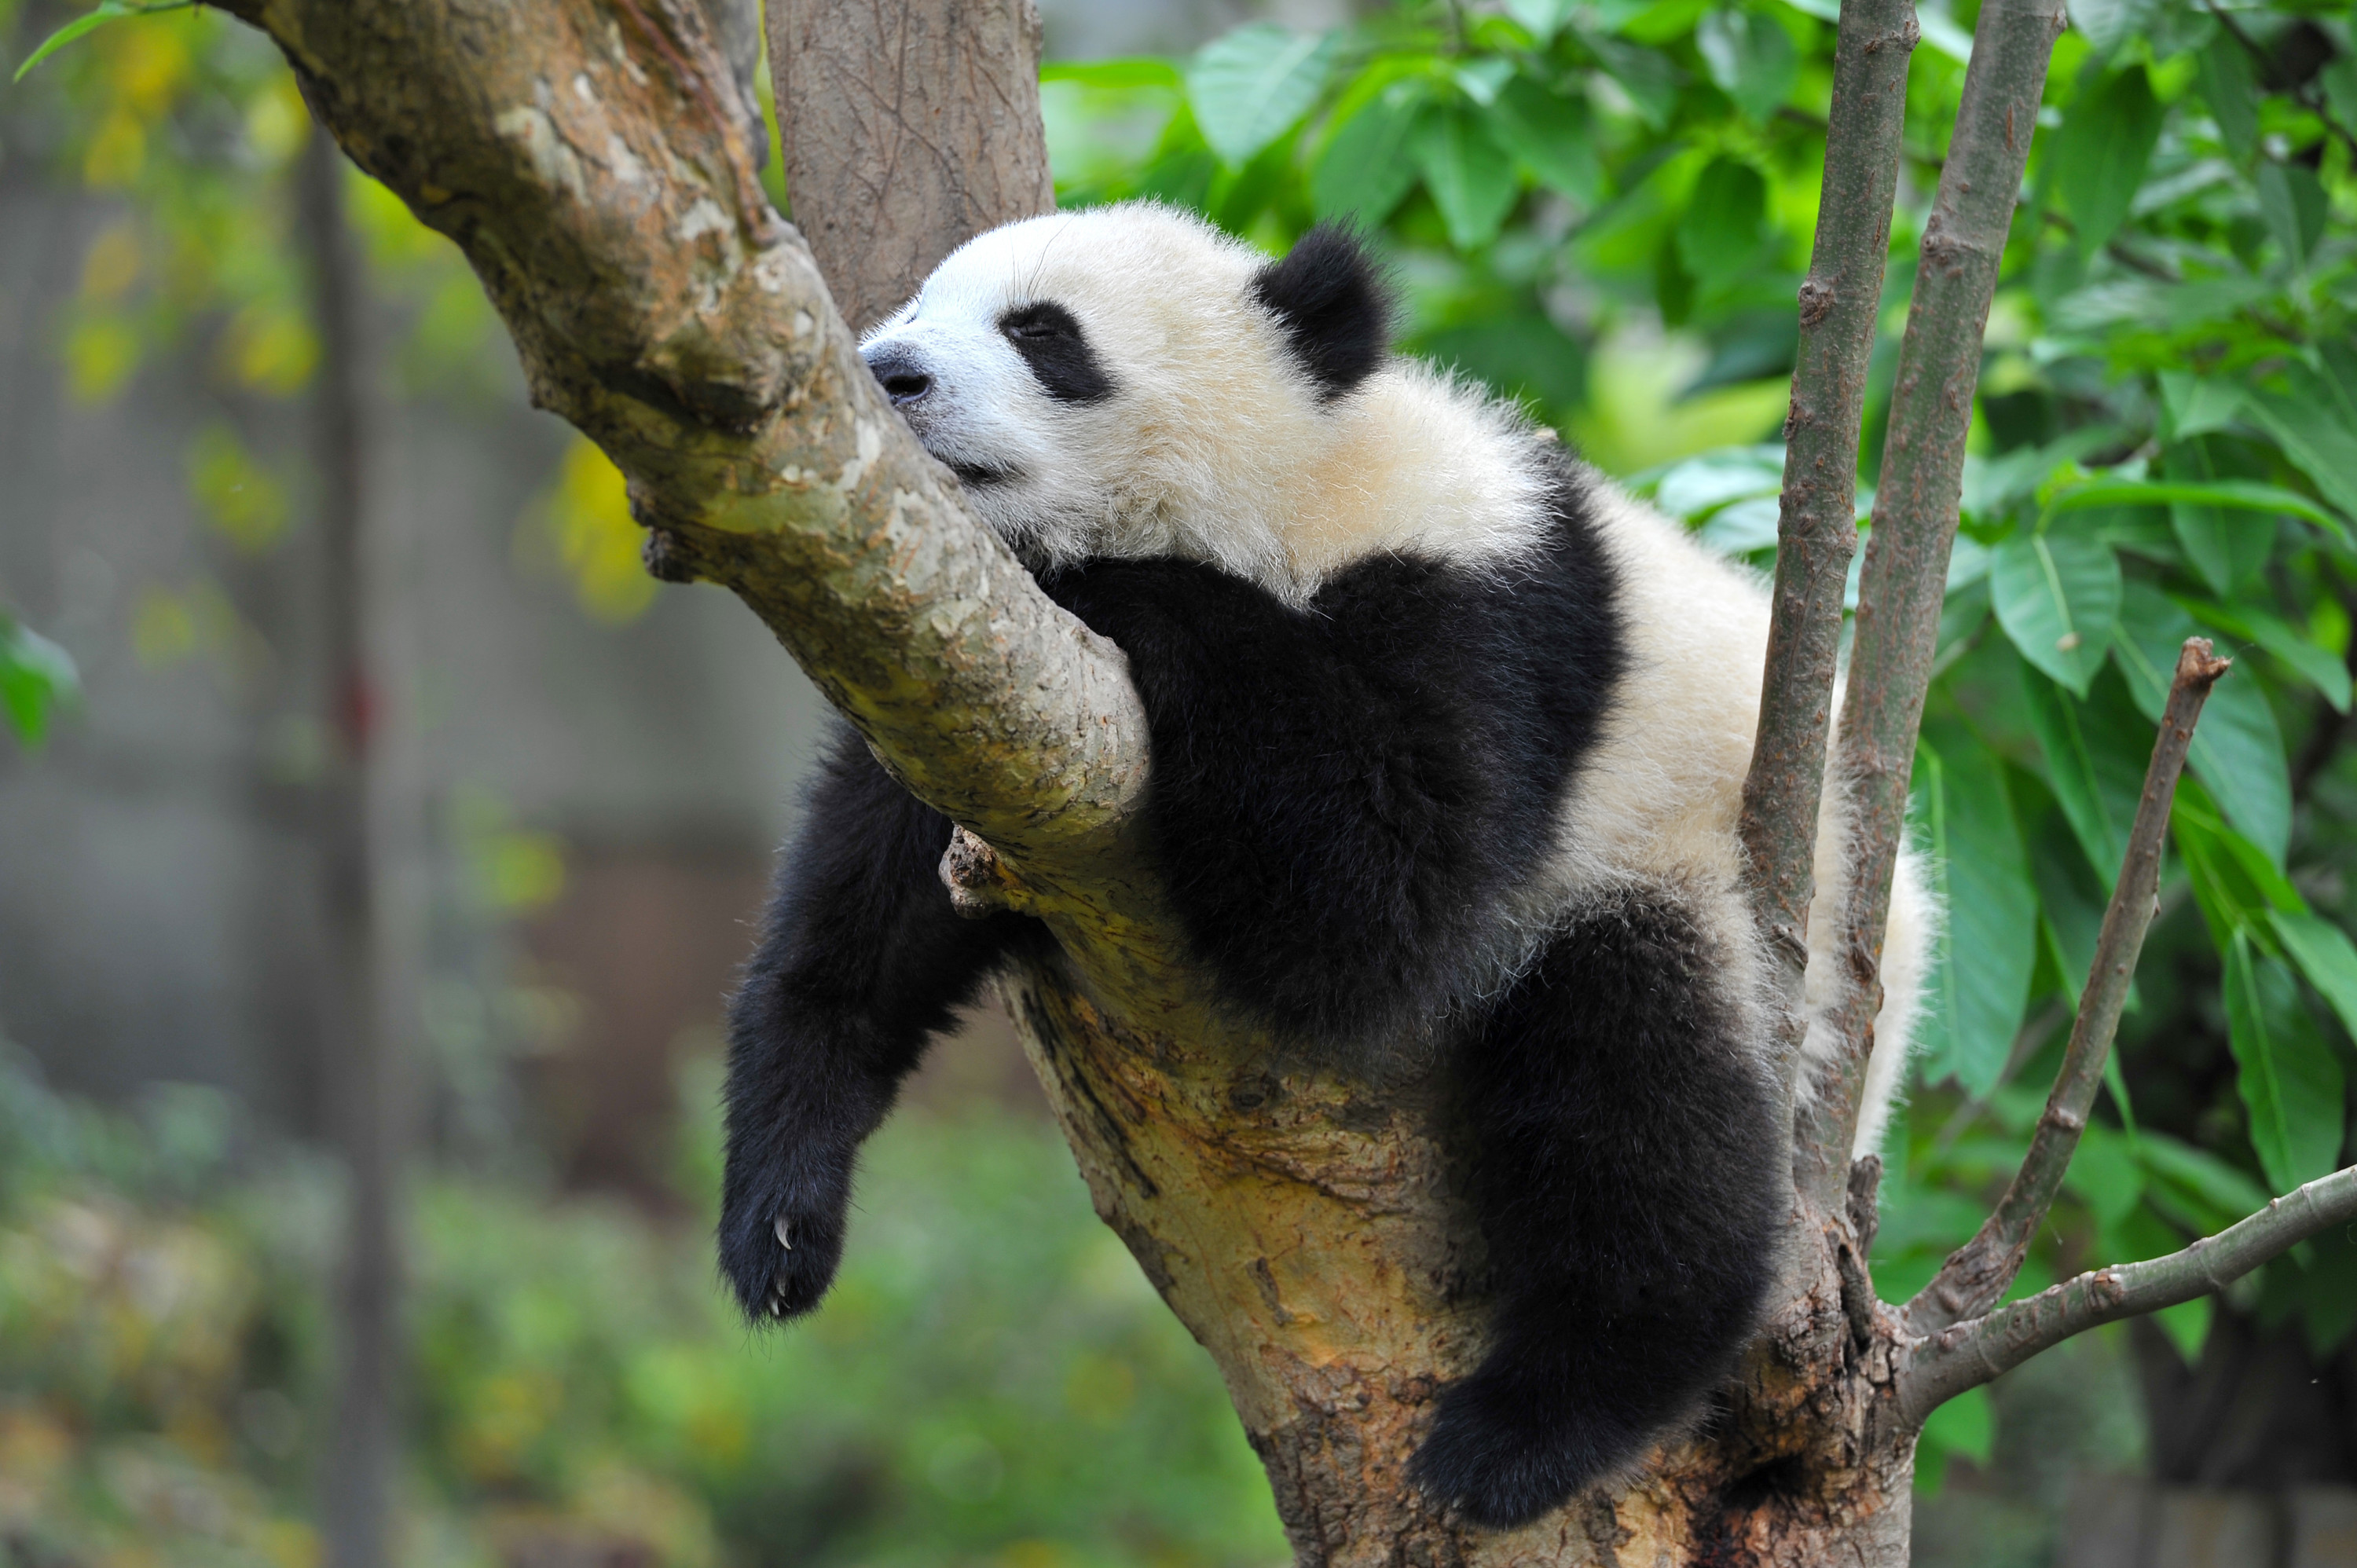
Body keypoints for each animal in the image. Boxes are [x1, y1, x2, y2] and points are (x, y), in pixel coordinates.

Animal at [718, 201, 1932, 1529]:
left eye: (1043, 333)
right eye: (915, 307)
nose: (888, 371)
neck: (1283, 482)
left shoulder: (1486, 607)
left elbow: (1383, 897)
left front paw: (1120, 585)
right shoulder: (963, 679)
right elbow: (868, 903)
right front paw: (781, 1216)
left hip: (1712, 883)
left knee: (1641, 1088)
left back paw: (1539, 1425)